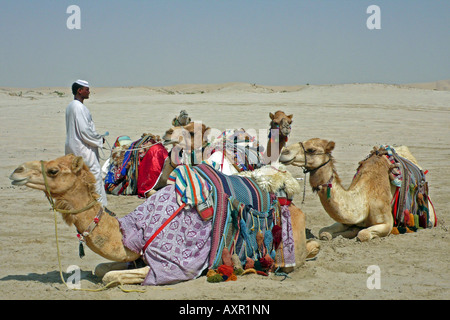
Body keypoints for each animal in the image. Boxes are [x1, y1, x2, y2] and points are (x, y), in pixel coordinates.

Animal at [10, 154, 320, 284]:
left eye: (53, 170)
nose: (16, 171)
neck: (131, 230)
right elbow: (100, 268)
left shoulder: (176, 264)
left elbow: (109, 275)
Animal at [280, 139, 434, 241]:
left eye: (311, 149)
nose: (284, 152)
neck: (364, 197)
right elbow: (324, 233)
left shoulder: (386, 222)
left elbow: (363, 234)